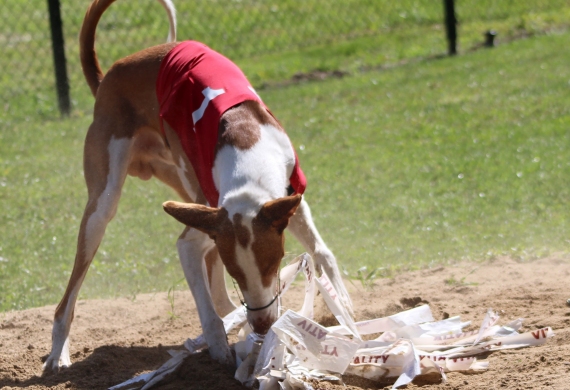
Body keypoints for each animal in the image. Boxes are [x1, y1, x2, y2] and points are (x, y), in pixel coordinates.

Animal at [44, 0, 348, 372]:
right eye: (237, 274)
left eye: (273, 265)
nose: (262, 325)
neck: (245, 145)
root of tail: (107, 79)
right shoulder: (201, 231)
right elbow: (204, 299)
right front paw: (219, 348)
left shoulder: (288, 202)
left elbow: (323, 254)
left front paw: (346, 313)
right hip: (103, 208)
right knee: (68, 298)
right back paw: (58, 352)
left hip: (184, 190)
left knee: (218, 290)